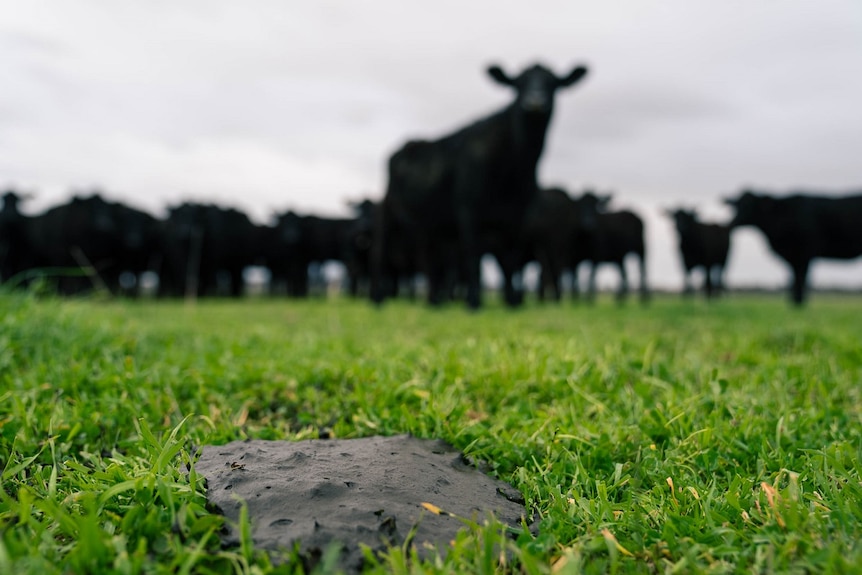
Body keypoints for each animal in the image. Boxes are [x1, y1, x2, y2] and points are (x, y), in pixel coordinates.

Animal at [374, 62, 592, 310]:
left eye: (553, 83)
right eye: (519, 84)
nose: (535, 102)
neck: (513, 166)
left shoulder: (518, 216)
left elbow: (510, 259)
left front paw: (512, 303)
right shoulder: (468, 211)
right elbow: (473, 255)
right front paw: (474, 302)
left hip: (430, 225)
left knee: (430, 258)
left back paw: (434, 302)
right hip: (389, 212)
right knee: (383, 252)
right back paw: (379, 299)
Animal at [724, 190, 860, 306]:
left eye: (749, 206)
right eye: (736, 206)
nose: (731, 224)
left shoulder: (804, 254)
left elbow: (800, 278)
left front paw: (799, 304)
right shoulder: (792, 256)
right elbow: (792, 279)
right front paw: (794, 303)